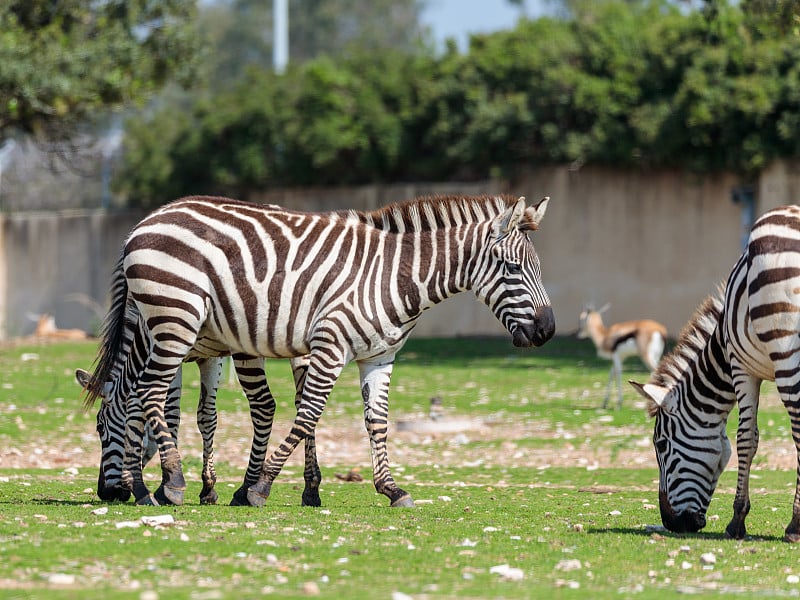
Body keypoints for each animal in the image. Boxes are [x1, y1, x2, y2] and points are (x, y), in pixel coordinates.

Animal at [83, 195, 556, 508]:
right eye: (513, 268)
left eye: (534, 267)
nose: (548, 330)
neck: (397, 276)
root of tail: (143, 222)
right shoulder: (330, 344)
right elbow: (308, 414)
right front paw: (260, 487)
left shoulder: (379, 357)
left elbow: (376, 422)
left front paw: (391, 488)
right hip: (173, 321)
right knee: (145, 394)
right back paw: (170, 482)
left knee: (140, 395)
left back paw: (151, 484)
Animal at [636, 204, 800, 540]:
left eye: (661, 445)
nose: (672, 524)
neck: (721, 347)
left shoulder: (741, 366)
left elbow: (747, 439)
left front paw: (737, 520)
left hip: (786, 348)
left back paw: (795, 523)